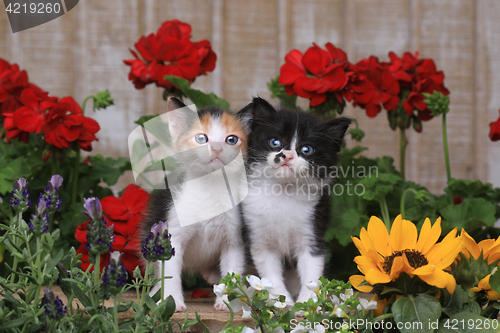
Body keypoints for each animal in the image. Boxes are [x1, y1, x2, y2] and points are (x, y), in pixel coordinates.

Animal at [142, 96, 247, 312]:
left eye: (231, 140)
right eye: (201, 138)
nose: (216, 148)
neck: (211, 187)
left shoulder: (235, 238)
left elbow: (233, 268)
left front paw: (228, 302)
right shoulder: (172, 232)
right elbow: (169, 270)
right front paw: (171, 300)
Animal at [239, 96, 352, 304]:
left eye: (306, 149)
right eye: (275, 142)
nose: (287, 155)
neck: (283, 192)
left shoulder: (312, 233)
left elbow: (312, 274)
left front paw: (306, 304)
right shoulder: (260, 240)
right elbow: (271, 277)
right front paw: (282, 303)